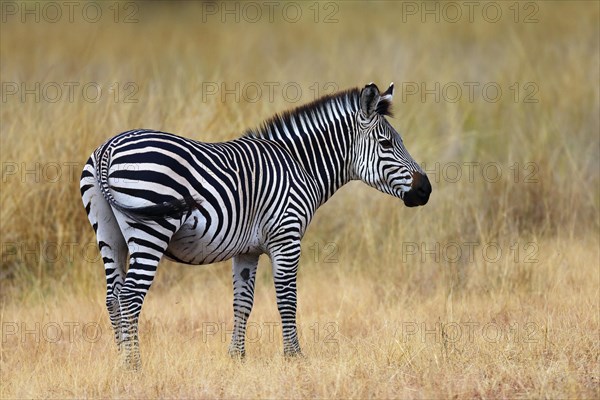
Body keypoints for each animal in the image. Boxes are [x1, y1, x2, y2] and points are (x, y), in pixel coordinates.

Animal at [79, 82, 432, 368]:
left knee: (113, 296)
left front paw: (236, 357)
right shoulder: (286, 237)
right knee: (129, 295)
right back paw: (134, 364)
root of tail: (108, 149)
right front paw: (294, 357)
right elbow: (287, 299)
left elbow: (242, 303)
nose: (425, 189)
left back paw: (120, 359)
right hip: (150, 229)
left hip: (109, 233)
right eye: (386, 144)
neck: (300, 165)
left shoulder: (247, 251)